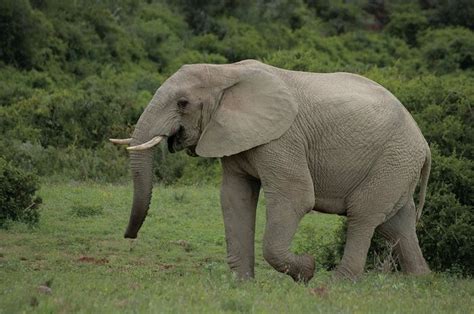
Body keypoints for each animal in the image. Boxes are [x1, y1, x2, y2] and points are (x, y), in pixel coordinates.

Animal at [110, 59, 430, 282]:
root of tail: (425, 145)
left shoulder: (282, 138)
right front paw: (241, 284)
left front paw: (307, 270)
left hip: (393, 159)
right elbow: (234, 197)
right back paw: (421, 280)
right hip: (398, 165)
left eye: (183, 103)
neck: (226, 72)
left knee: (363, 216)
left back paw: (337, 284)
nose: (128, 236)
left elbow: (296, 197)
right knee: (396, 224)